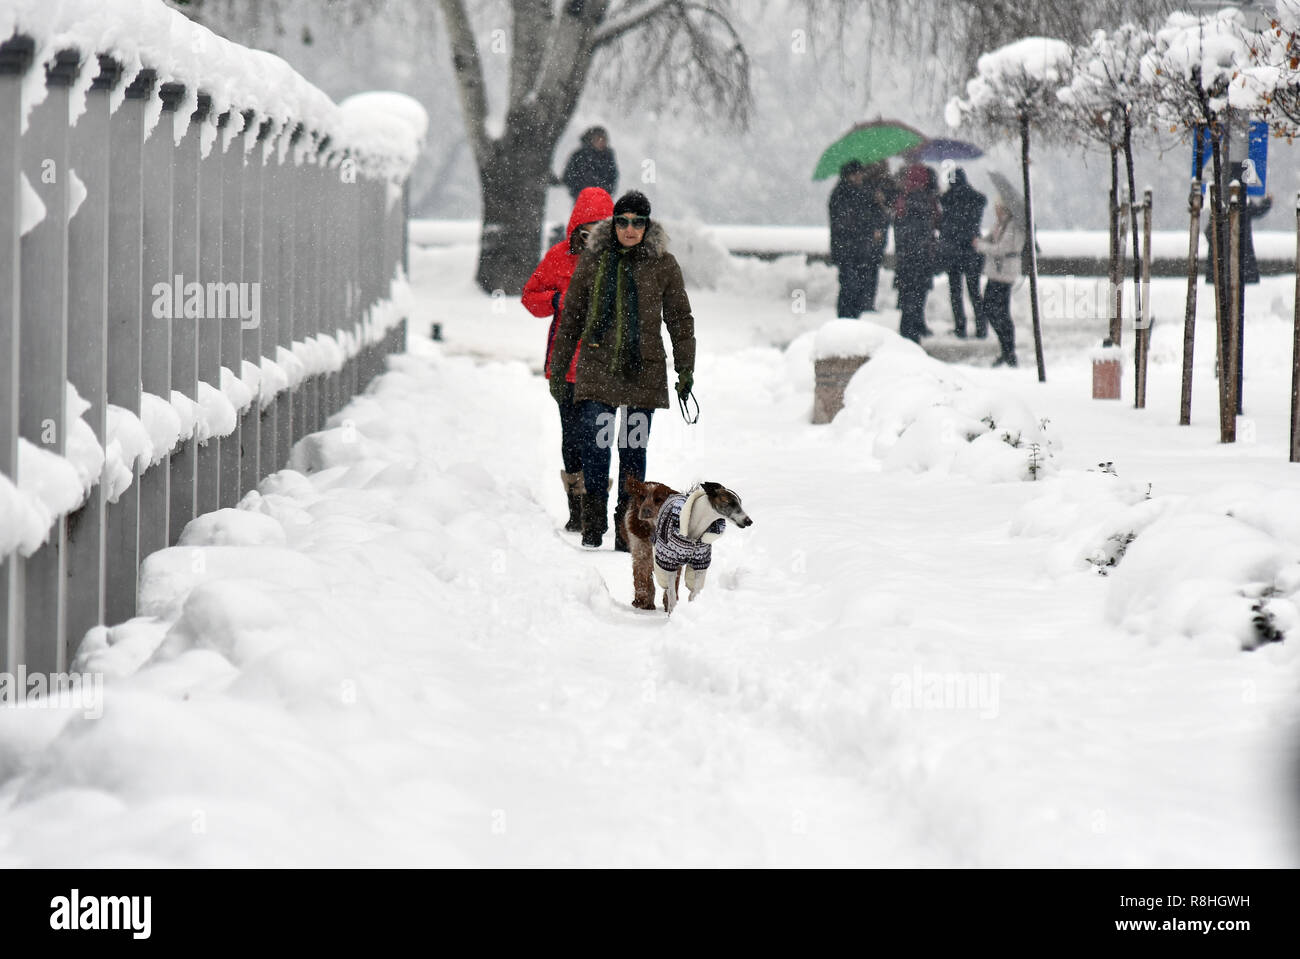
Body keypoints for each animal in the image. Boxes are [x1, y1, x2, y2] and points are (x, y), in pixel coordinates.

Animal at [621, 475, 681, 605]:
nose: (646, 510)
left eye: (658, 499)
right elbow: (642, 578)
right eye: (642, 497)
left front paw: (669, 601)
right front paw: (642, 600)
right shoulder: (641, 554)